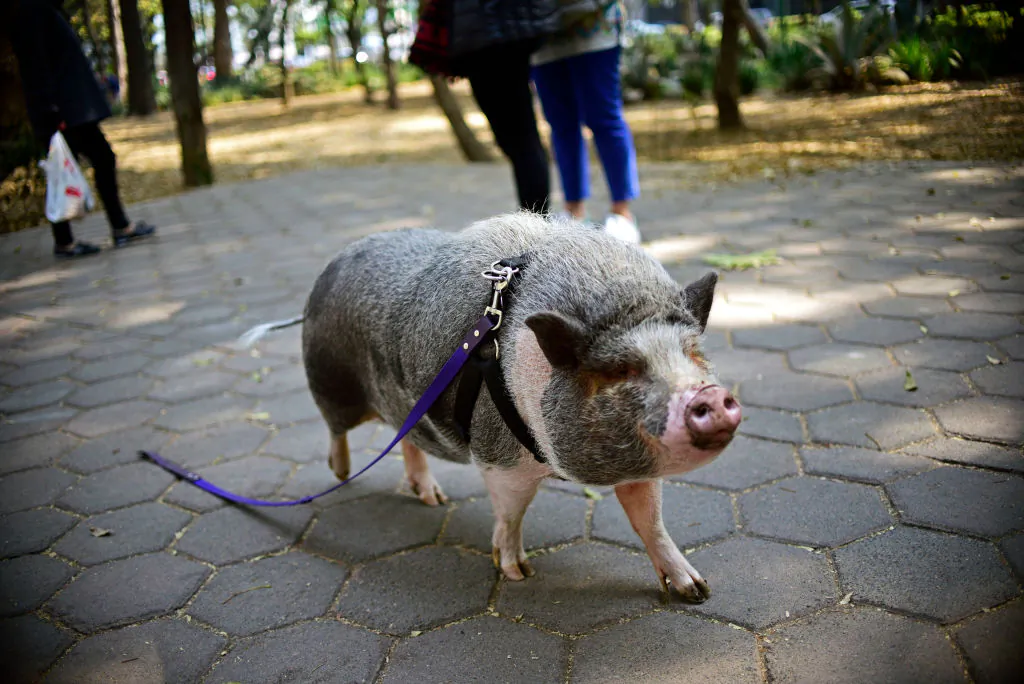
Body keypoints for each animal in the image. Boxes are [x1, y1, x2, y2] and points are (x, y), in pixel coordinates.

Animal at [301, 213, 741, 601]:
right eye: (621, 369)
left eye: (692, 352)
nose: (708, 396)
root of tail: (335, 261)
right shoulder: (499, 458)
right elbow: (512, 513)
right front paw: (518, 573)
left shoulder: (637, 467)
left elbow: (649, 520)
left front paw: (697, 591)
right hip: (330, 382)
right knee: (336, 429)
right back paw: (341, 472)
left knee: (407, 439)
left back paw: (433, 499)